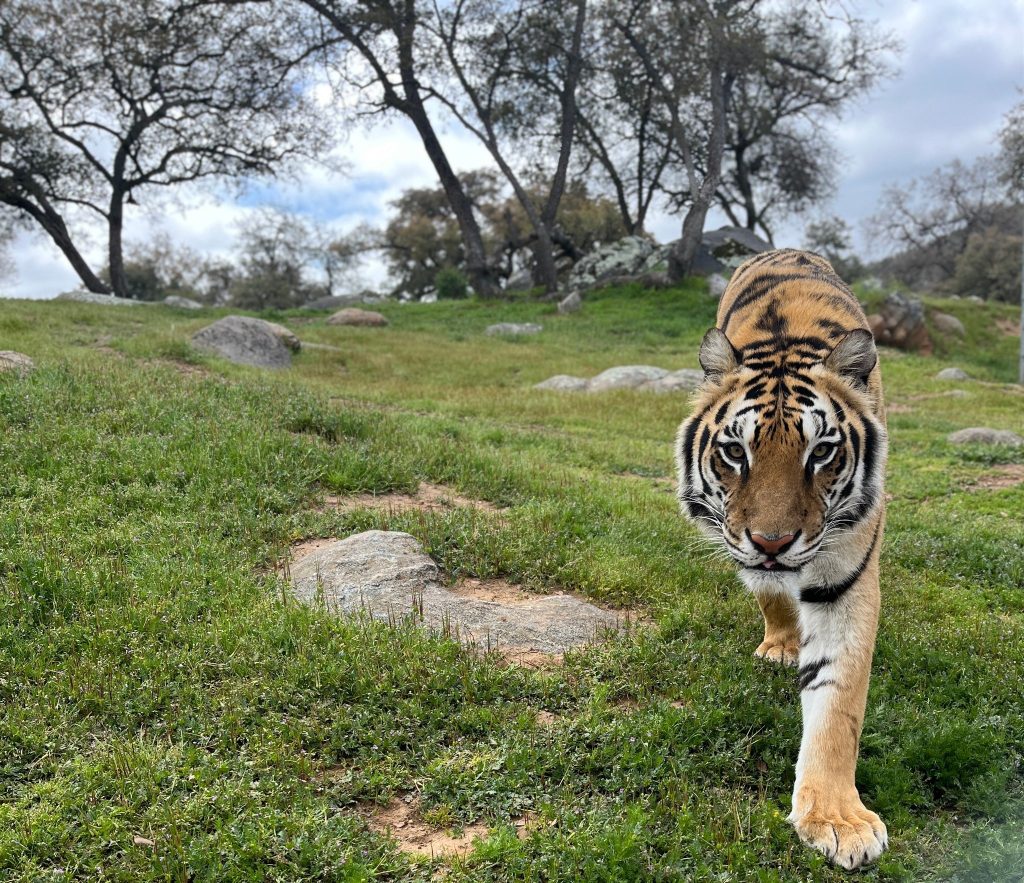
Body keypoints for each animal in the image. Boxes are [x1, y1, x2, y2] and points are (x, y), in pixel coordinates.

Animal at [675, 248, 884, 872]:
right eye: (734, 452)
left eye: (822, 452)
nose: (772, 542)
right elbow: (770, 593)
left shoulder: (845, 580)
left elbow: (838, 704)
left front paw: (837, 819)